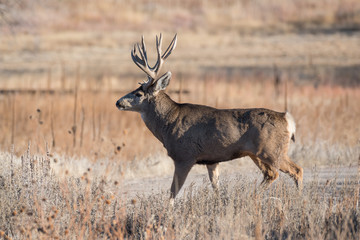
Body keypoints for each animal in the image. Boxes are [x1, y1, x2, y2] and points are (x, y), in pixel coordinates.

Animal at [116, 33, 302, 199]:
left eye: (139, 93)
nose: (118, 102)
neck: (168, 123)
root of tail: (287, 119)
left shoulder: (184, 156)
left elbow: (173, 191)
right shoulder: (212, 161)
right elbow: (216, 187)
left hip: (272, 149)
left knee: (294, 170)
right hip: (256, 153)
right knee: (271, 174)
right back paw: (251, 197)